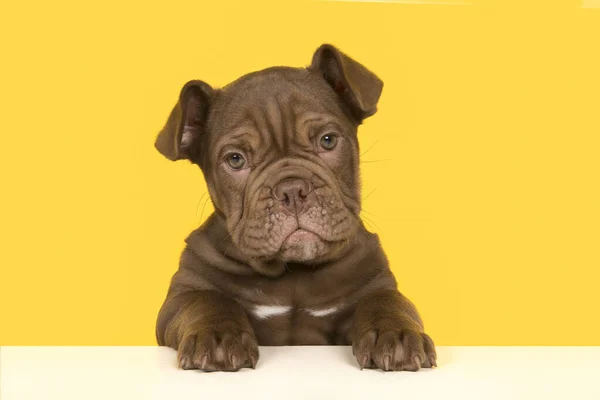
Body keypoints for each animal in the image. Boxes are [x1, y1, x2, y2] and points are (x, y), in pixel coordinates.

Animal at [155, 43, 436, 372]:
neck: (292, 272)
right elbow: (205, 300)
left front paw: (395, 333)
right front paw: (218, 336)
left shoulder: (375, 283)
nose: (291, 190)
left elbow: (386, 300)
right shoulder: (181, 296)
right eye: (235, 159)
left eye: (328, 140)